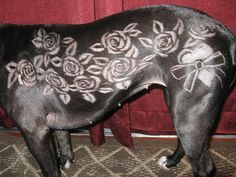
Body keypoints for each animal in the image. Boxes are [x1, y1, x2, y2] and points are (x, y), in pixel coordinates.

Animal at [0, 4, 235, 177]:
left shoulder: (34, 131)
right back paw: (170, 162)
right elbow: (64, 138)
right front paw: (66, 160)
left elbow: (49, 169)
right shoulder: (53, 122)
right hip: (178, 103)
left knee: (204, 166)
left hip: (190, 112)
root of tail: (225, 33)